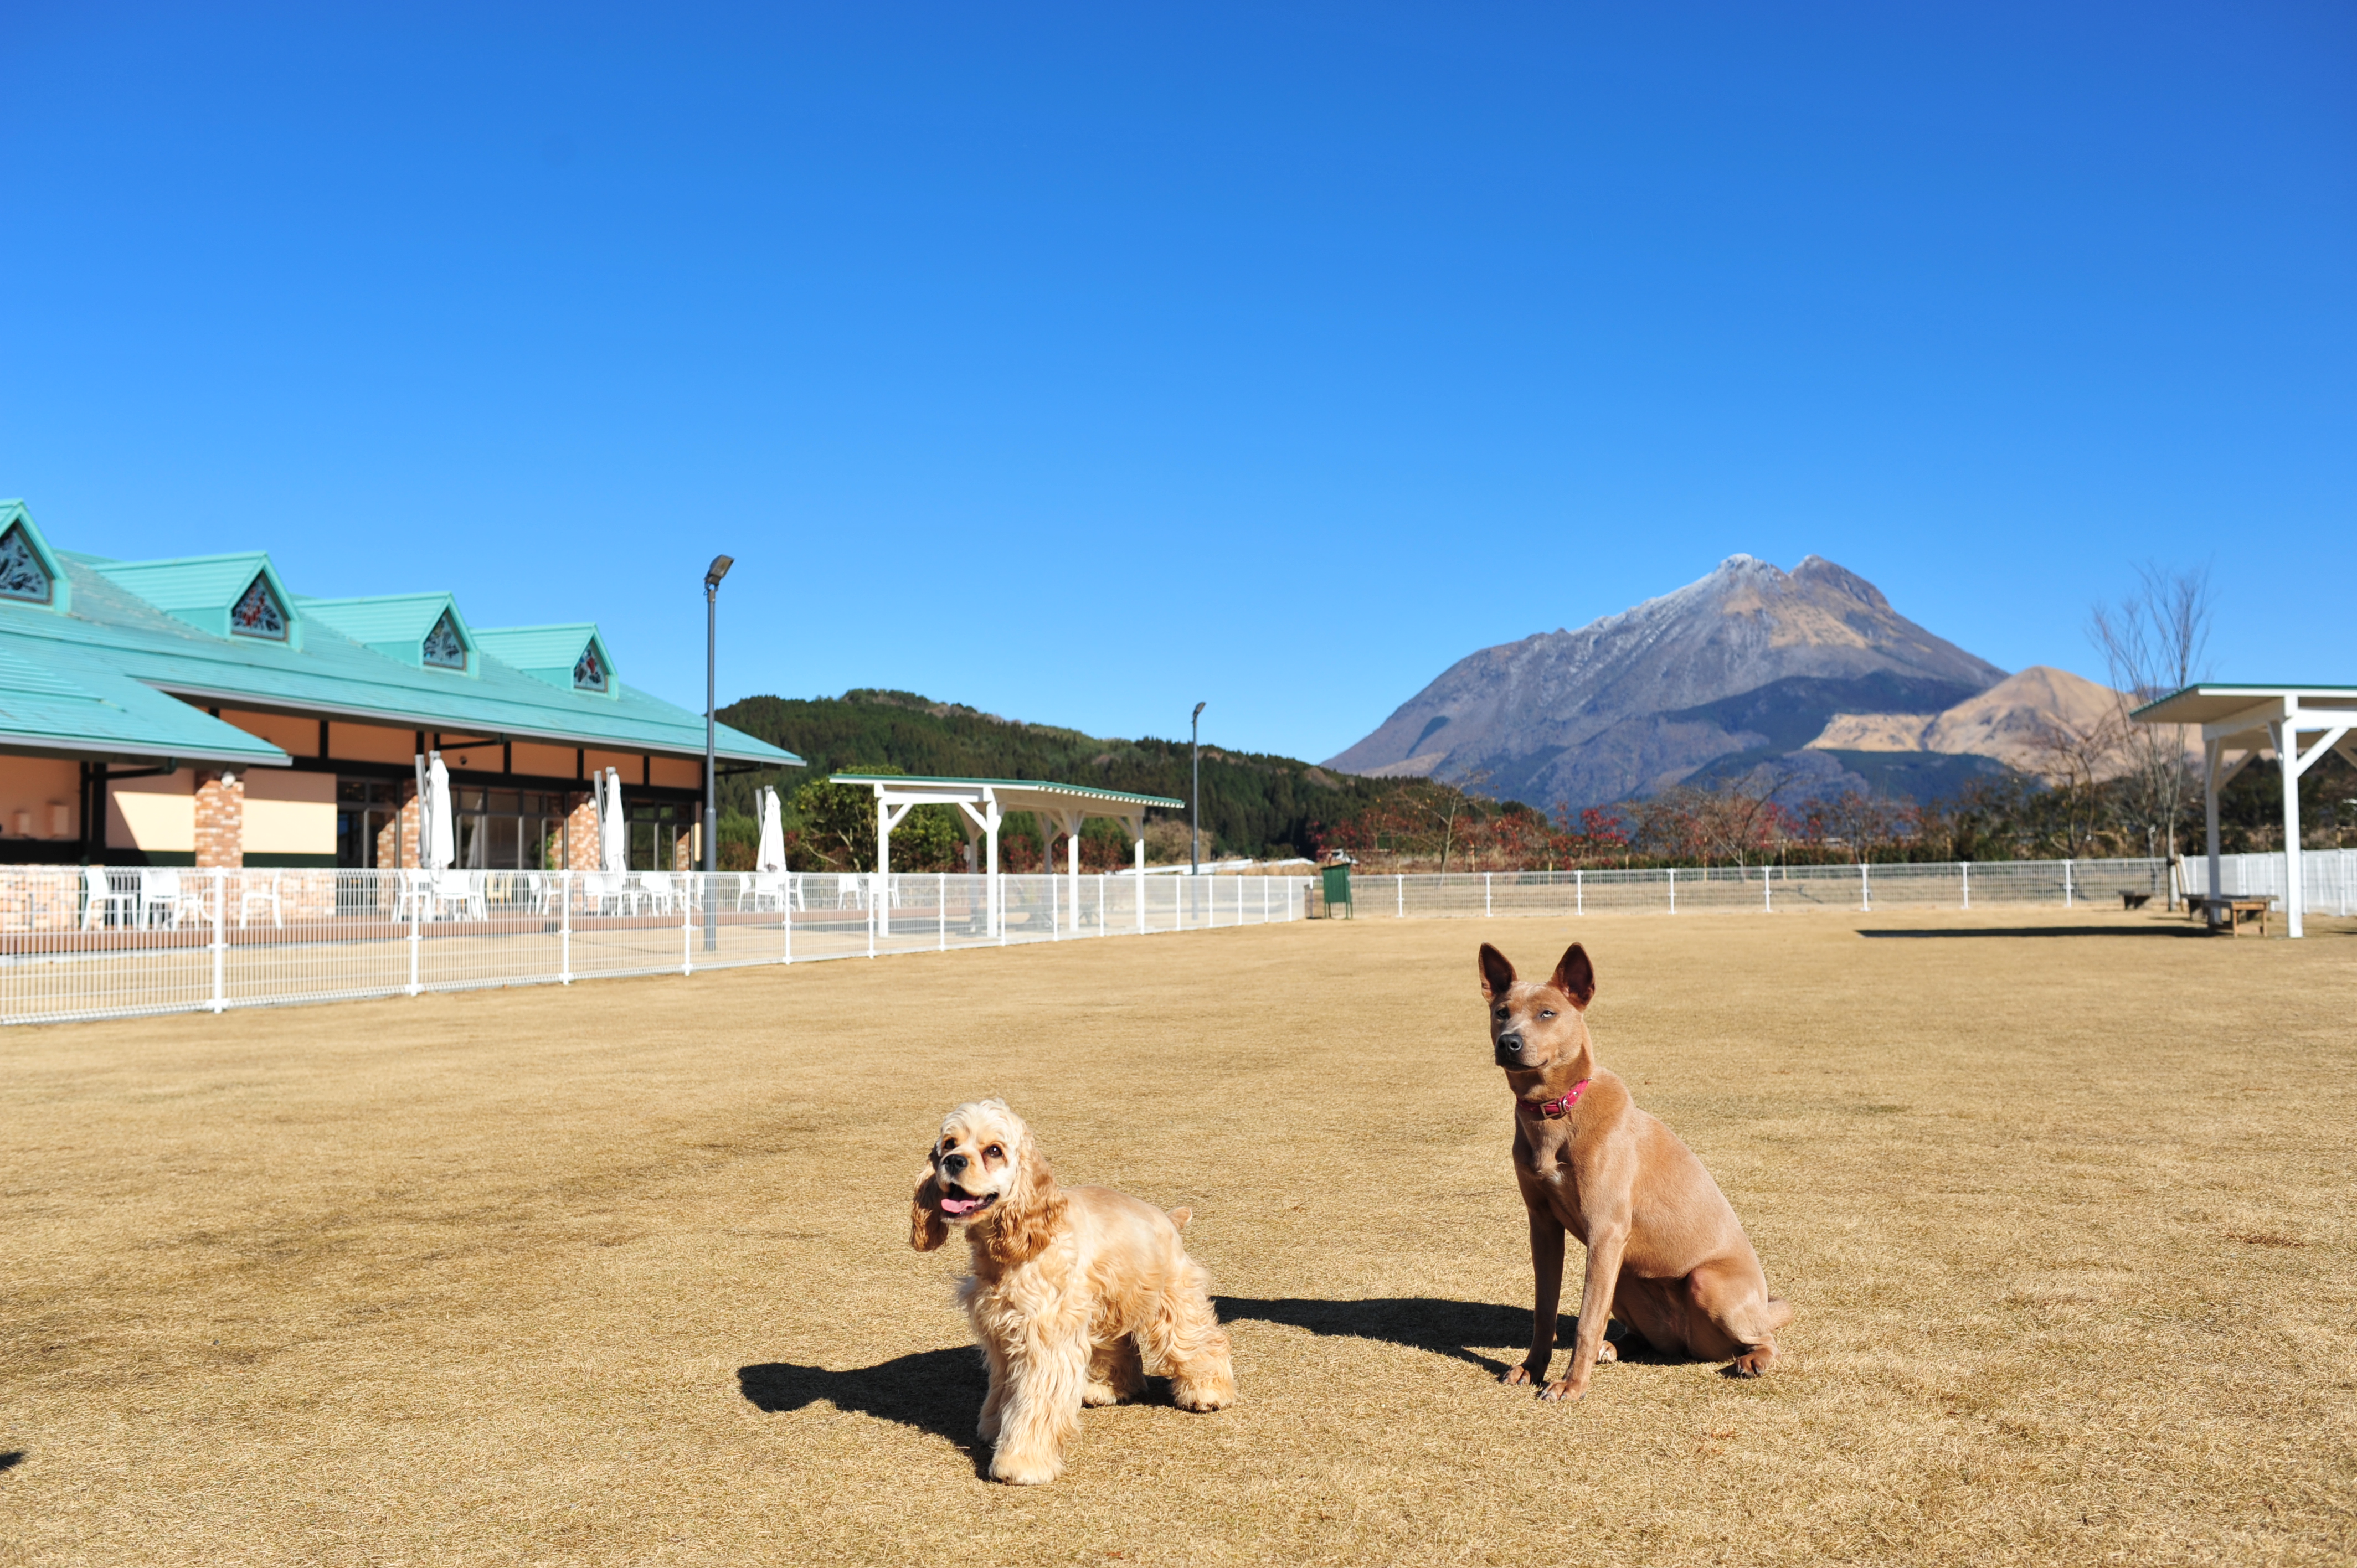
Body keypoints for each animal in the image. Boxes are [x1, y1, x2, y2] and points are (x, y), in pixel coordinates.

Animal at [905, 1094, 1235, 1490]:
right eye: (950, 1144)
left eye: (994, 1151)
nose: (954, 1161)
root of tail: (1167, 1218)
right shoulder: (1001, 1334)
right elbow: (1003, 1388)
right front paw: (993, 1427)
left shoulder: (1044, 1342)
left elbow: (1033, 1404)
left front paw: (1020, 1463)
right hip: (1107, 1305)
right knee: (1119, 1344)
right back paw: (1107, 1389)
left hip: (1168, 1298)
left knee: (1201, 1339)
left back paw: (1209, 1393)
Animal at [1480, 933, 1791, 1396]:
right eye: (1502, 1012)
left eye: (1547, 1013)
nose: (1509, 1043)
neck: (1557, 1111)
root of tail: (1685, 1342)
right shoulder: (1543, 1225)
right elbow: (1544, 1310)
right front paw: (1531, 1368)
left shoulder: (1605, 1230)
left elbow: (1587, 1320)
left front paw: (1570, 1386)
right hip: (1626, 1272)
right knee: (1642, 1337)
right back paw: (1613, 1348)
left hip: (1705, 1283)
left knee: (1764, 1338)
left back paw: (1753, 1360)